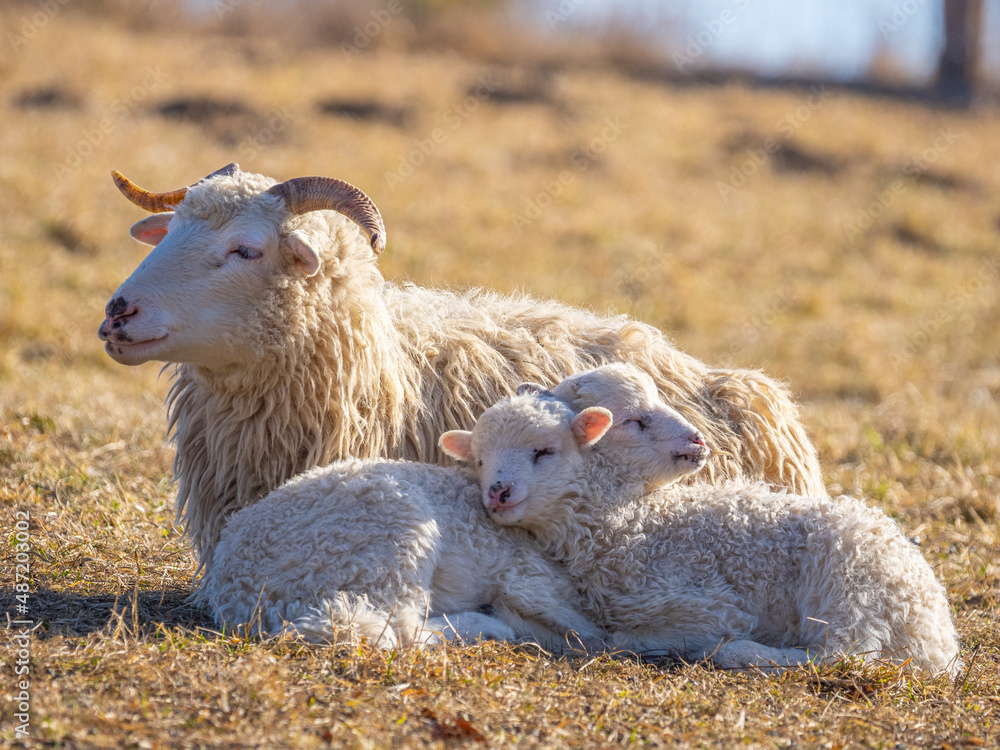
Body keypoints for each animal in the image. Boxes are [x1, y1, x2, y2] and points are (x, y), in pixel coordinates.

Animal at [440, 380, 961, 675]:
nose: (498, 492)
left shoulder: (710, 605)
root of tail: (936, 636)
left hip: (848, 581)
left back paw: (743, 653)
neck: (628, 520)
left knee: (849, 654)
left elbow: (632, 636)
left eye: (544, 451)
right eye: (480, 460)